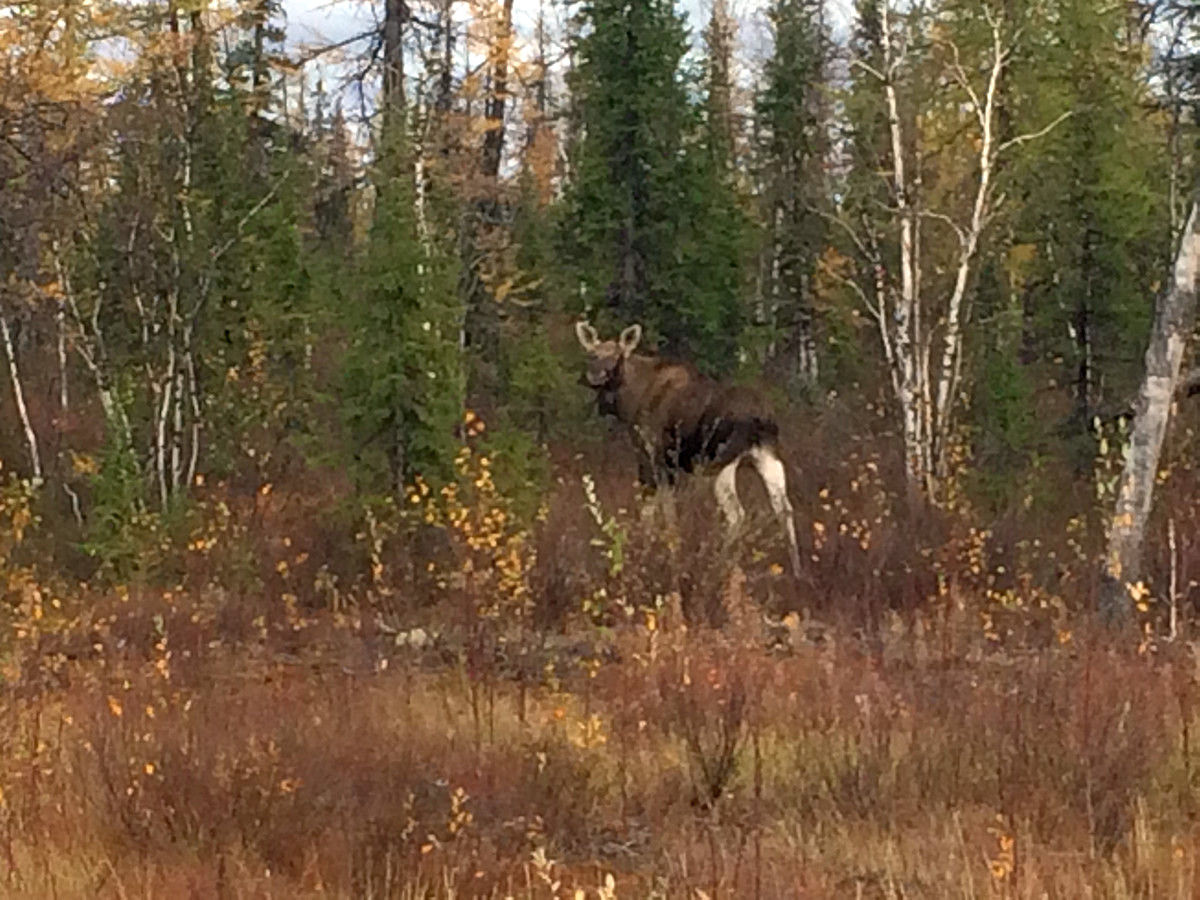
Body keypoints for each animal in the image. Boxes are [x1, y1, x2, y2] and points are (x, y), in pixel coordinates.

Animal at [573, 321, 801, 578]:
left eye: (617, 356)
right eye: (592, 354)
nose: (595, 376)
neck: (629, 402)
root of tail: (761, 418)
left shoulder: (652, 456)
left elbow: (657, 510)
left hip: (719, 460)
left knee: (737, 514)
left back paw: (718, 564)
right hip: (767, 455)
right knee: (784, 508)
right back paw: (798, 573)